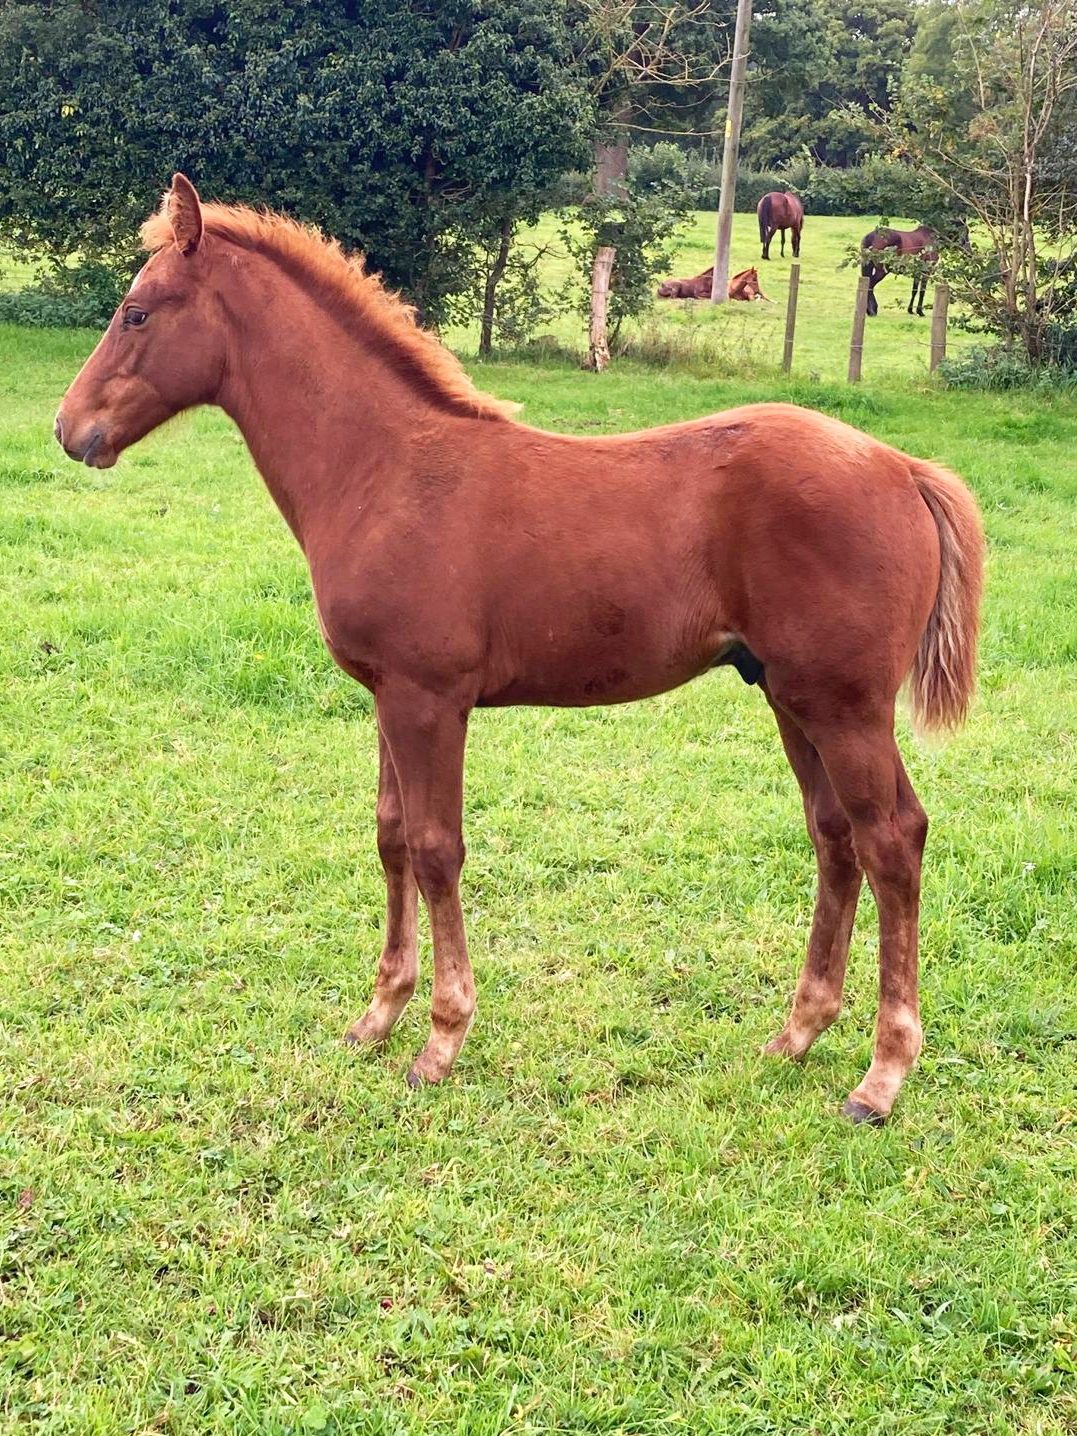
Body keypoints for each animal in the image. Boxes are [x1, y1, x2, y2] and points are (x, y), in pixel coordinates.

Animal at [55, 176, 984, 1125]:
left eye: (135, 313)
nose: (70, 428)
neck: (383, 470)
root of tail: (901, 467)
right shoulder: (386, 696)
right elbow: (391, 836)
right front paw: (377, 1016)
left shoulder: (430, 698)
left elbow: (436, 848)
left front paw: (440, 1039)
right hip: (790, 697)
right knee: (834, 837)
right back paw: (796, 1033)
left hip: (845, 705)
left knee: (891, 840)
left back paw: (881, 1073)